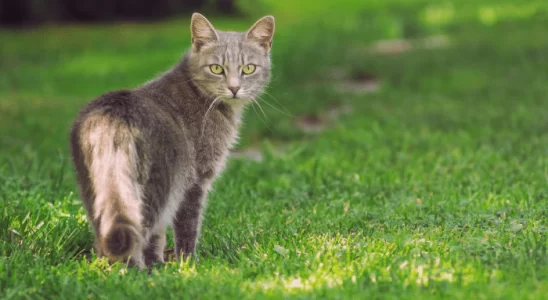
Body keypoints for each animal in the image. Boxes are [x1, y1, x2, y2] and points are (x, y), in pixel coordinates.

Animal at [69, 12, 274, 268]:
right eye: (217, 68)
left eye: (248, 68)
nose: (234, 88)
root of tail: (115, 114)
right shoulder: (194, 182)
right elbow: (187, 228)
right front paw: (188, 263)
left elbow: (157, 239)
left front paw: (159, 264)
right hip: (157, 188)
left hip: (95, 187)